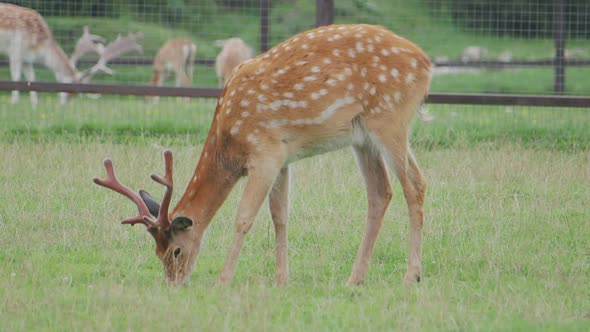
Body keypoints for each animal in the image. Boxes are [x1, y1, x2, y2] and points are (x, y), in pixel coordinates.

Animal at [0, 2, 143, 106]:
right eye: (69, 90)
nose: (64, 105)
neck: (40, 44)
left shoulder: (27, 59)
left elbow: (31, 79)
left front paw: (34, 105)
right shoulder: (15, 52)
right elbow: (16, 77)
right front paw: (14, 103)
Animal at [95, 24, 432, 286]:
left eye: (175, 250)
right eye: (155, 251)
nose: (174, 283)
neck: (231, 143)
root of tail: (426, 64)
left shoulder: (264, 151)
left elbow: (243, 217)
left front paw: (223, 280)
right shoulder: (282, 157)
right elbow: (280, 215)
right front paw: (281, 279)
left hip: (390, 119)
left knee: (414, 183)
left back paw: (411, 275)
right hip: (363, 138)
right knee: (381, 191)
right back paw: (355, 278)